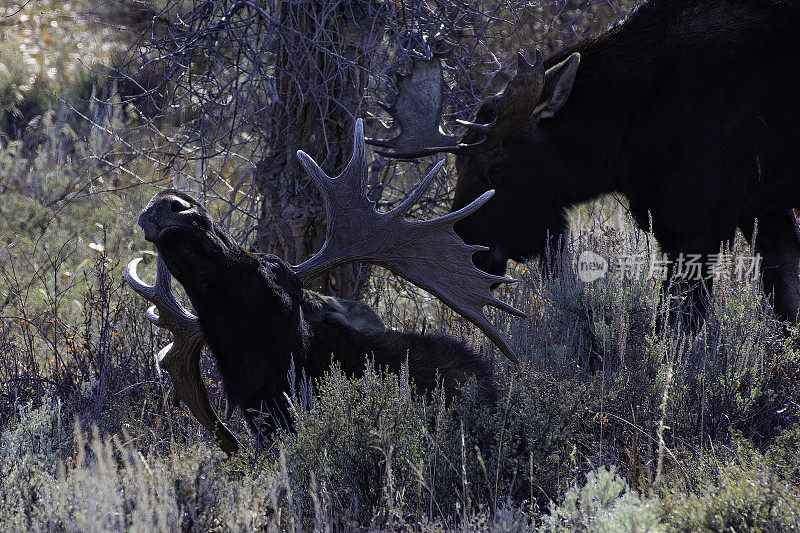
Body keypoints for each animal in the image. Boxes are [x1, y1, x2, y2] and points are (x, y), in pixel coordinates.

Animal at [368, 0, 800, 322]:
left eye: (496, 166)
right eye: (457, 168)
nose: (466, 254)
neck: (622, 132)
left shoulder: (690, 222)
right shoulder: (763, 208)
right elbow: (787, 305)